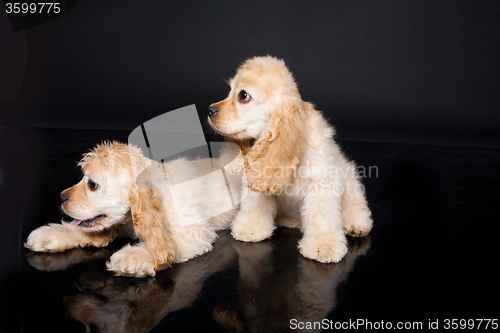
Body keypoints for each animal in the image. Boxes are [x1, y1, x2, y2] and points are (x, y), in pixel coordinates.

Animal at [24, 141, 240, 274]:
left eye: (92, 184)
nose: (61, 197)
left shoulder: (195, 232)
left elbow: (168, 245)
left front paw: (134, 255)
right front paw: (53, 234)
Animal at [206, 55, 372, 264]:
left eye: (243, 95)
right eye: (229, 91)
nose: (210, 110)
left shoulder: (323, 182)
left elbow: (322, 216)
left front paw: (324, 245)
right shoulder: (257, 174)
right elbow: (255, 203)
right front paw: (251, 227)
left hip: (349, 175)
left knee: (355, 203)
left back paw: (356, 224)